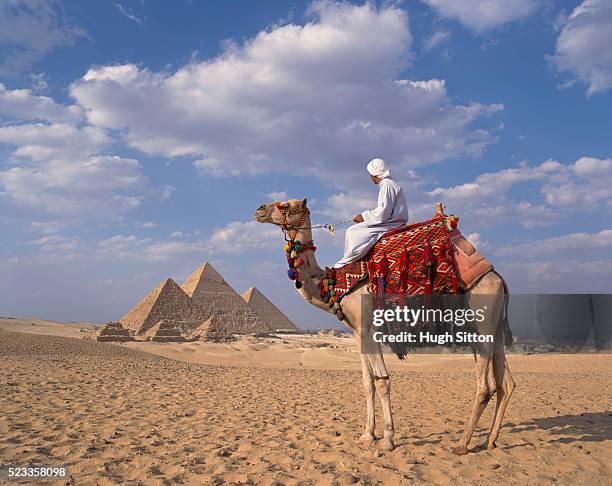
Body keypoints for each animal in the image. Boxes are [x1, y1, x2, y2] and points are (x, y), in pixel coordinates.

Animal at [253, 198, 516, 456]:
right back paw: (490, 441)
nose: (259, 209)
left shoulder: (369, 328)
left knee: (486, 386)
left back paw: (462, 444)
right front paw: (367, 435)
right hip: (493, 327)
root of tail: (498, 278)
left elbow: (382, 381)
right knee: (506, 383)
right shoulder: (358, 332)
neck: (334, 285)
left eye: (286, 205)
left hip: (479, 321)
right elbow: (367, 381)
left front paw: (387, 440)